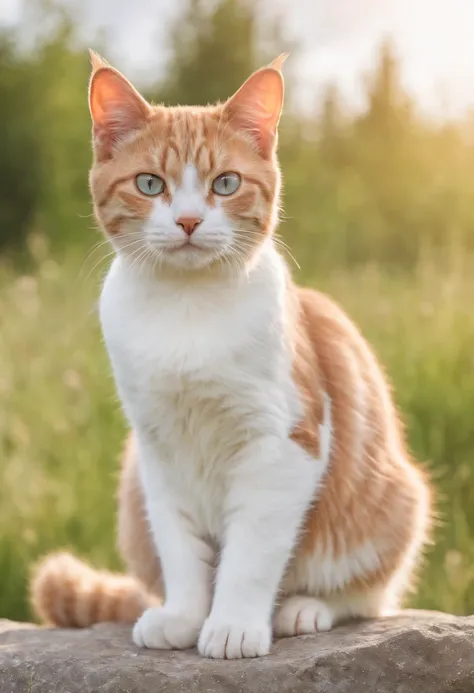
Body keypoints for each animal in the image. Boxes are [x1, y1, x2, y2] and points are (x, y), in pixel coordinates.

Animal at [31, 50, 432, 660]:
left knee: (368, 595)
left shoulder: (283, 445)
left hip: (395, 501)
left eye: (225, 184)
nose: (189, 221)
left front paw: (234, 626)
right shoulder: (158, 452)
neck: (186, 310)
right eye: (149, 184)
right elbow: (181, 550)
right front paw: (184, 617)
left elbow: (251, 554)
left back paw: (305, 609)